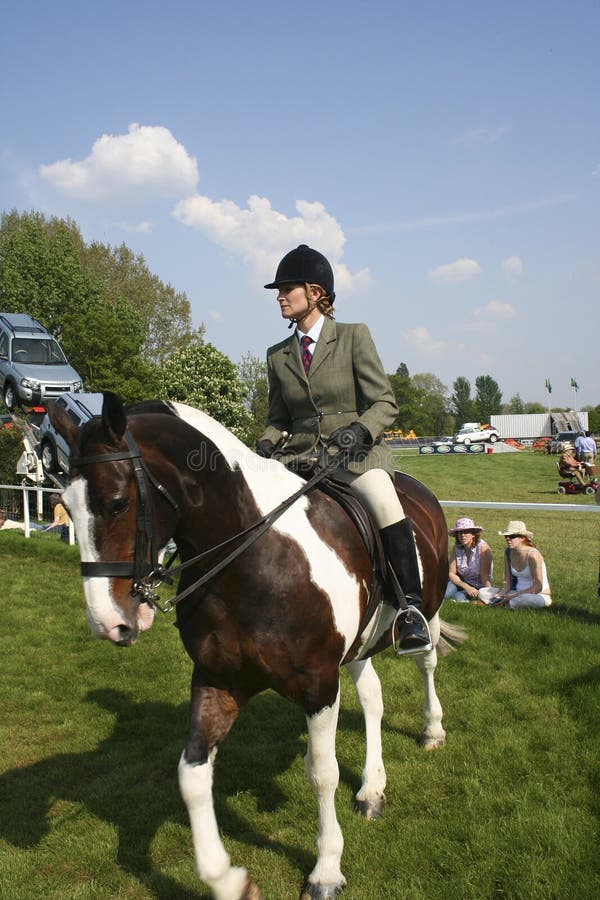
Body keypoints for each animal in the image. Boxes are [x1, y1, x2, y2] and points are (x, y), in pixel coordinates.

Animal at [51, 391, 461, 900]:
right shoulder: (218, 680)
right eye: (65, 505)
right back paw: (371, 789)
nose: (109, 623)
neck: (249, 556)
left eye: (116, 503)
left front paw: (326, 870)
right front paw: (229, 880)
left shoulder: (318, 685)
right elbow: (191, 776)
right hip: (358, 644)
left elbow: (321, 771)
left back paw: (431, 730)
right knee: (372, 696)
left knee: (426, 662)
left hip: (427, 610)